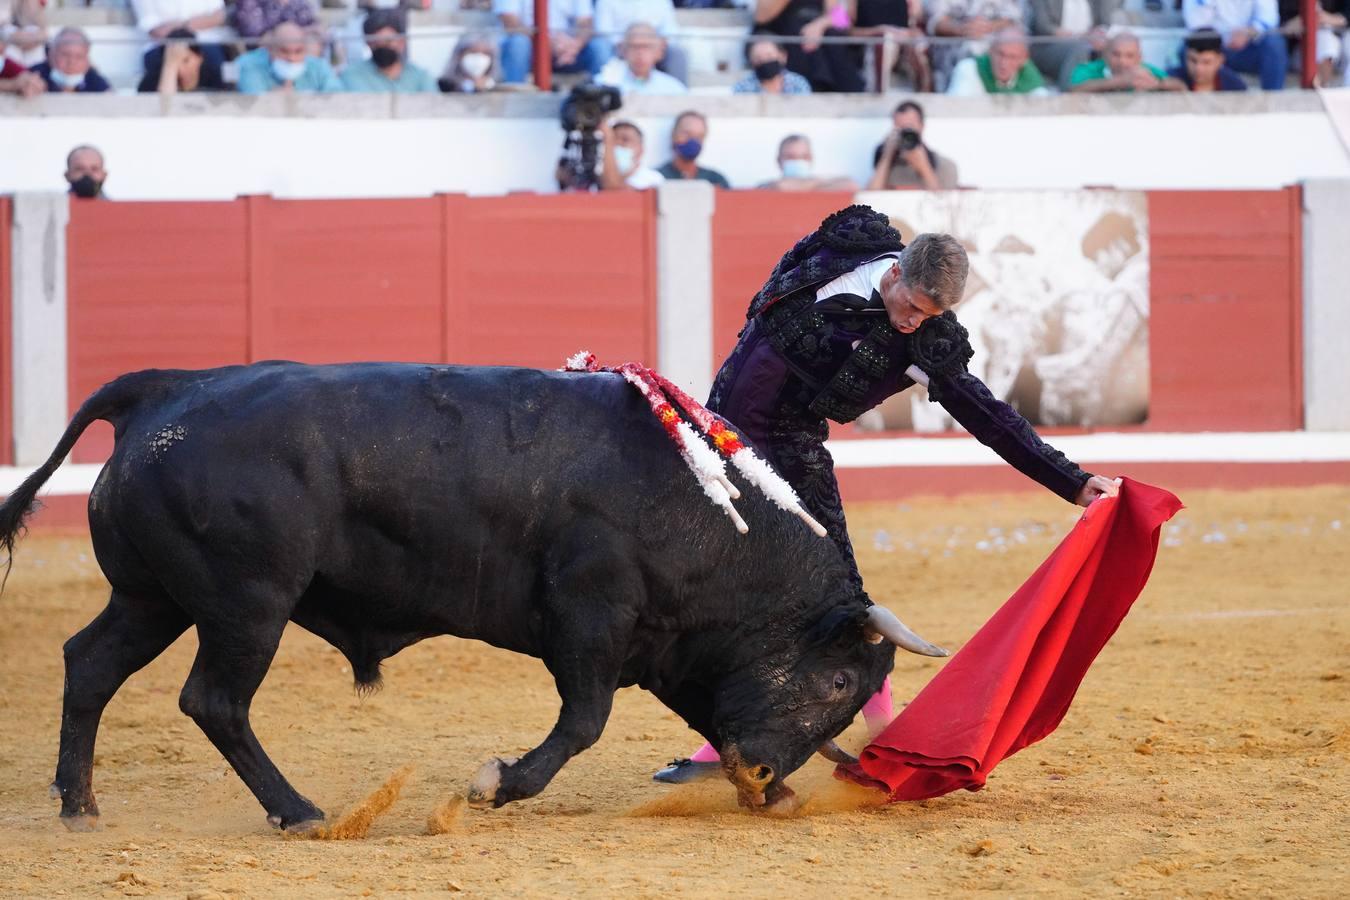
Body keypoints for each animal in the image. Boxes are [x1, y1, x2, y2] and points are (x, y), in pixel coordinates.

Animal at [0, 361, 939, 831]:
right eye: (836, 682)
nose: (764, 774)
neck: (713, 514)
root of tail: (165, 390)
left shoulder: (668, 648)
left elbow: (693, 709)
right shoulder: (591, 616)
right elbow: (583, 721)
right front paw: (494, 785)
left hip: (152, 598)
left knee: (89, 665)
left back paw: (78, 805)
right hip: (247, 603)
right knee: (214, 701)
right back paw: (299, 812)